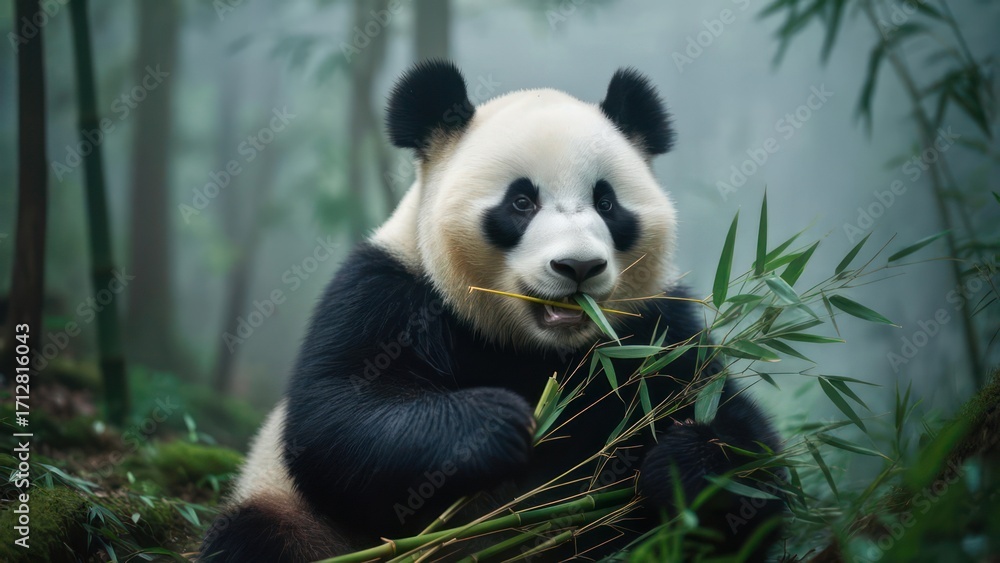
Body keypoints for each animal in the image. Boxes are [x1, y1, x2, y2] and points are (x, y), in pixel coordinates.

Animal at [200, 60, 783, 562]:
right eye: (521, 202)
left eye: (607, 203)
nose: (578, 266)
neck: (537, 351)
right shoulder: (386, 293)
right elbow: (334, 420)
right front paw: (496, 424)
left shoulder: (654, 327)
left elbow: (749, 452)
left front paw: (687, 468)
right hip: (292, 515)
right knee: (256, 538)